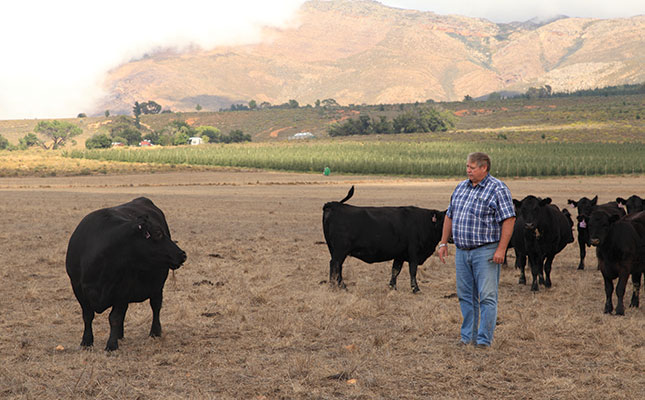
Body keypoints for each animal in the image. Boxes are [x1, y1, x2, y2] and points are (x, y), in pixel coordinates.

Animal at [65, 197, 186, 350]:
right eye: (158, 234)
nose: (182, 254)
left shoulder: (123, 289)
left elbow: (114, 317)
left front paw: (111, 345)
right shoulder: (78, 287)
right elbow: (88, 315)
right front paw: (86, 342)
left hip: (158, 285)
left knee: (156, 306)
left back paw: (155, 332)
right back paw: (120, 335)